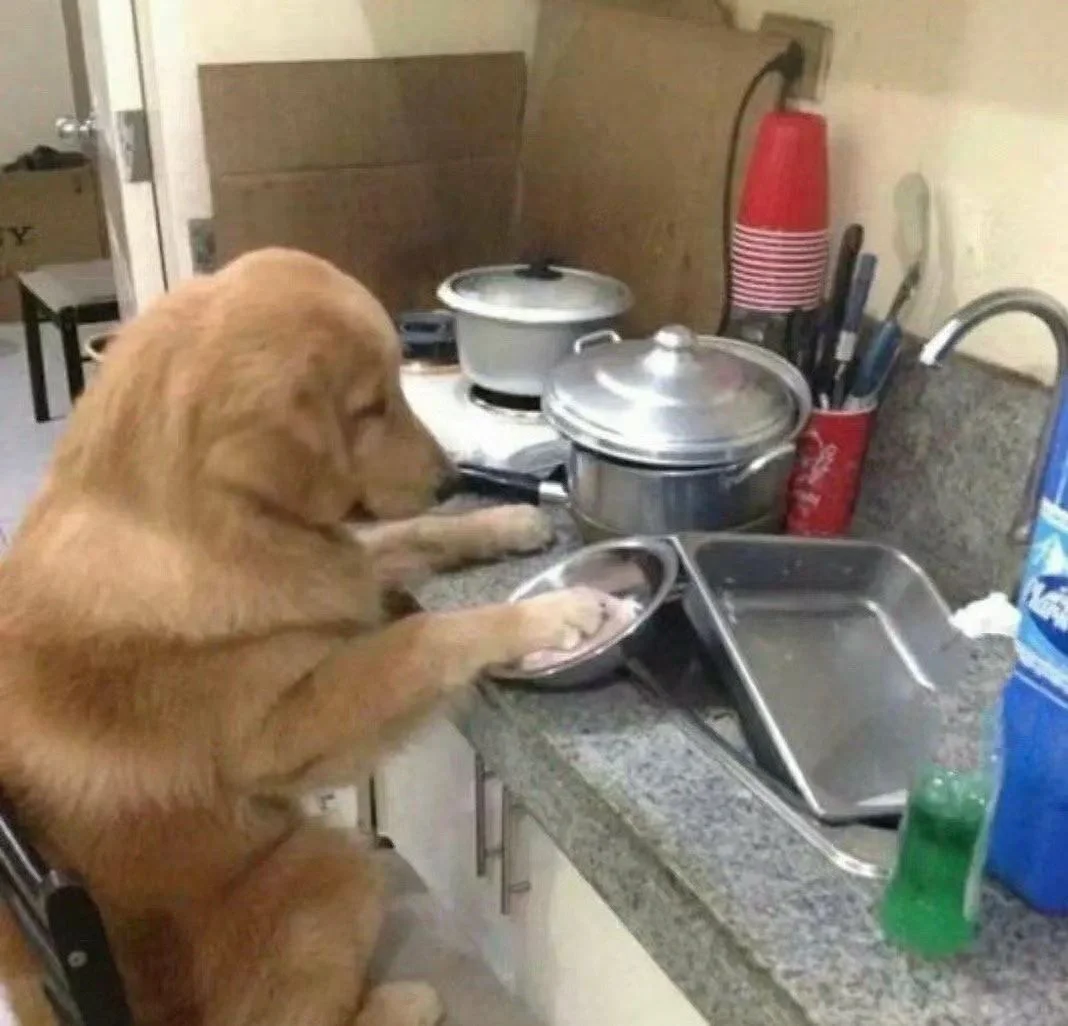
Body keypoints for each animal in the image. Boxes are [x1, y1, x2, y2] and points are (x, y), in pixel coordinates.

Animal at [0, 248, 608, 1026]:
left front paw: (505, 523)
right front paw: (556, 610)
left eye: (398, 390)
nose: (453, 479)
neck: (201, 528)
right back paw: (405, 1001)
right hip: (332, 860)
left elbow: (416, 536)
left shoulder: (329, 570)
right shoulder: (286, 729)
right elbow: (425, 636)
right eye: (370, 407)